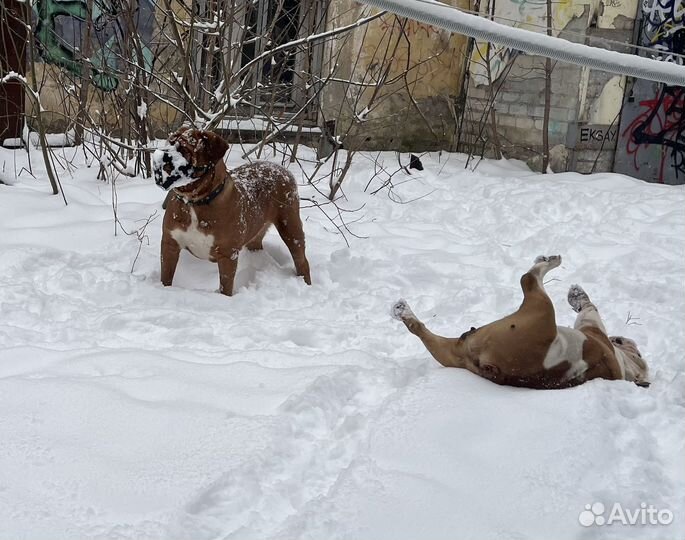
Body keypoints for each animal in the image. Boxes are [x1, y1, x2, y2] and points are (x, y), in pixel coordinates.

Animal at [154, 127, 312, 296]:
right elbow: (166, 276)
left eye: (184, 150)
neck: (195, 201)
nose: (159, 157)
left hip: (290, 227)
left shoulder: (227, 254)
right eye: (170, 142)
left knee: (302, 260)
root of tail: (283, 170)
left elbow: (226, 286)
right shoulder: (170, 244)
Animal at [392, 256, 648, 388]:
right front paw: (578, 296)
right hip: (453, 354)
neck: (626, 369)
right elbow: (589, 308)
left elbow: (589, 309)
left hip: (540, 309)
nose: (619, 339)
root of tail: (493, 367)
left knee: (528, 279)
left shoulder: (593, 329)